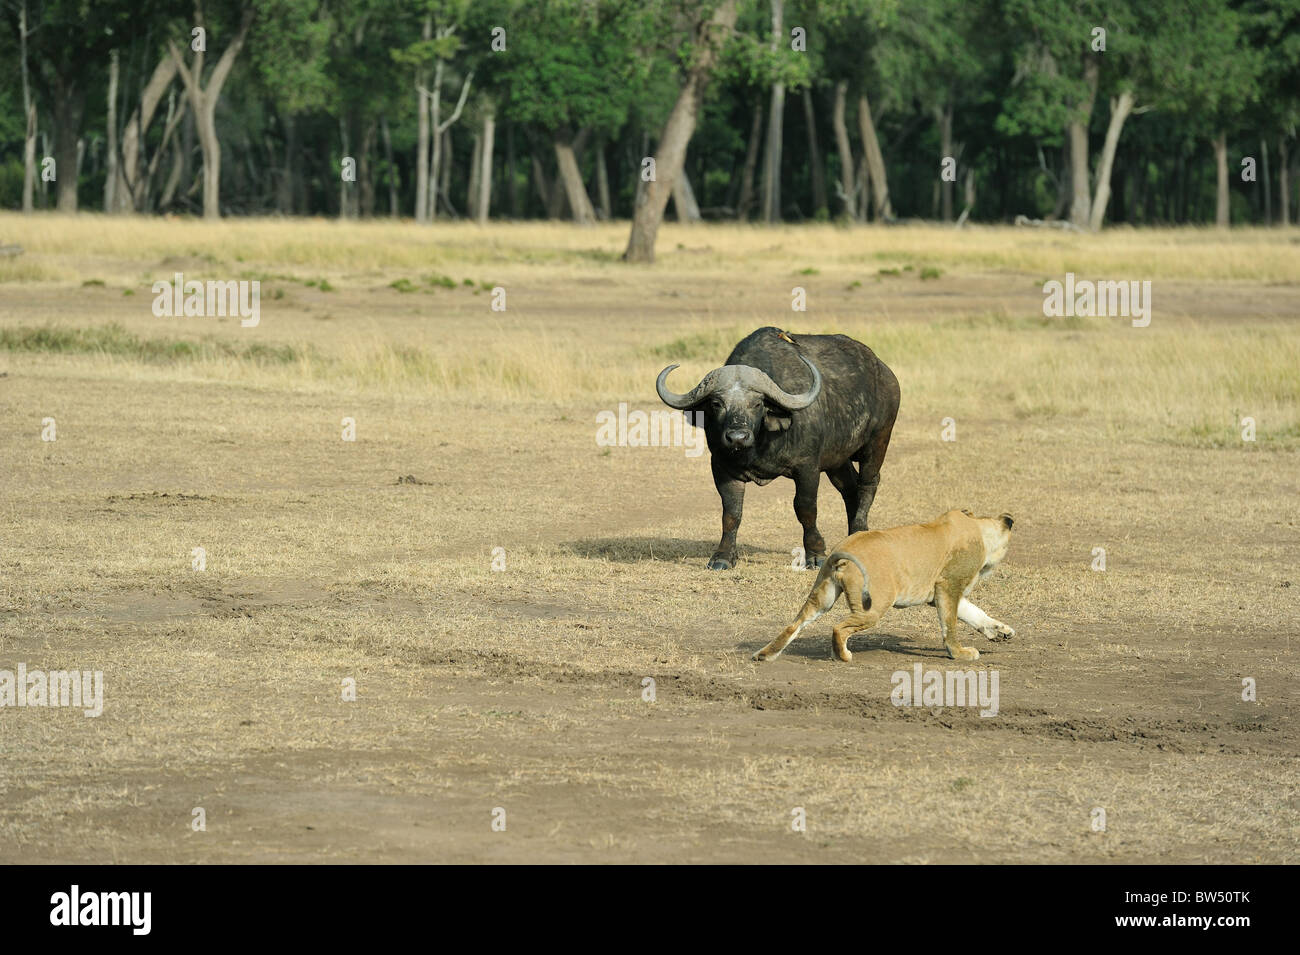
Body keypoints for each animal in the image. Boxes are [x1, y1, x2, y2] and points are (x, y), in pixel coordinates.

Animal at [753, 509, 1015, 663]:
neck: (978, 525)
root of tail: (842, 549)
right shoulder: (948, 586)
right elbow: (950, 623)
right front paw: (960, 653)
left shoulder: (940, 593)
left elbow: (974, 613)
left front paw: (1000, 631)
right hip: (874, 606)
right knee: (839, 628)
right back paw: (842, 656)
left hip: (823, 597)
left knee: (794, 624)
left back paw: (765, 654)